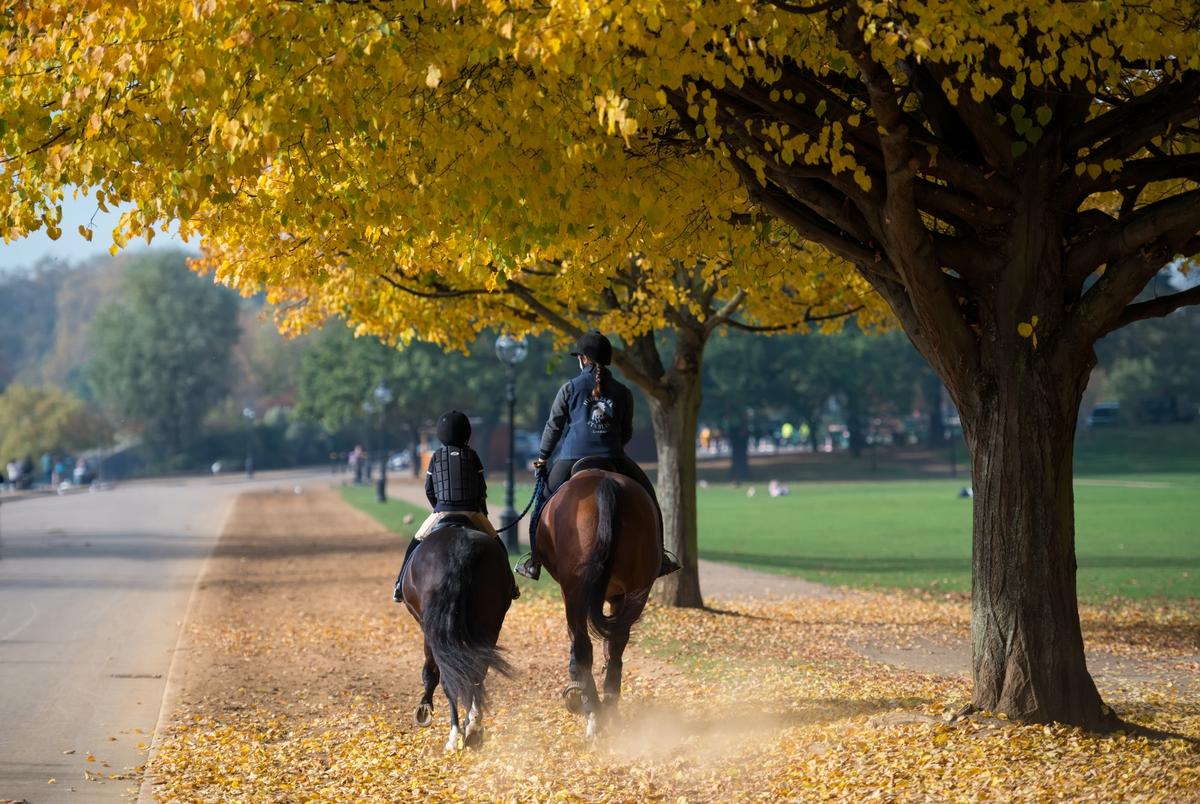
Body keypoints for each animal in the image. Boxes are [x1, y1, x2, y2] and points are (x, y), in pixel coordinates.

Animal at [396, 520, 513, 753]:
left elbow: (430, 672)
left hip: (437, 632)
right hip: (489, 625)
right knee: (476, 673)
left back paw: (455, 735)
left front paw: (424, 707)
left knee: (450, 679)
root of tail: (459, 550)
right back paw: (473, 728)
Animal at [537, 463, 667, 739]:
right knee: (615, 645)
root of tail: (606, 483)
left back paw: (592, 712)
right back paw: (608, 709)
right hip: (635, 591)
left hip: (575, 592)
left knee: (582, 645)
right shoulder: (618, 596)